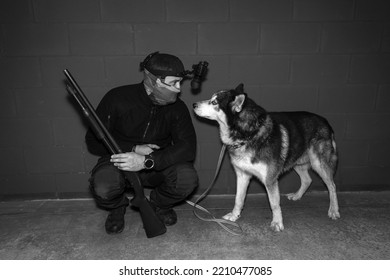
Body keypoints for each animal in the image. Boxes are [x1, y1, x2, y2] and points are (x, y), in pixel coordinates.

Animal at [193, 84, 340, 231]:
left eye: (214, 102)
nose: (194, 104)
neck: (248, 135)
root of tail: (325, 121)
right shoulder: (242, 175)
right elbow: (238, 199)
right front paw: (235, 216)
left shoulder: (270, 179)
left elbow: (274, 203)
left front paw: (277, 222)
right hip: (296, 162)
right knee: (307, 180)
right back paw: (297, 196)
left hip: (318, 164)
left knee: (332, 186)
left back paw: (334, 210)